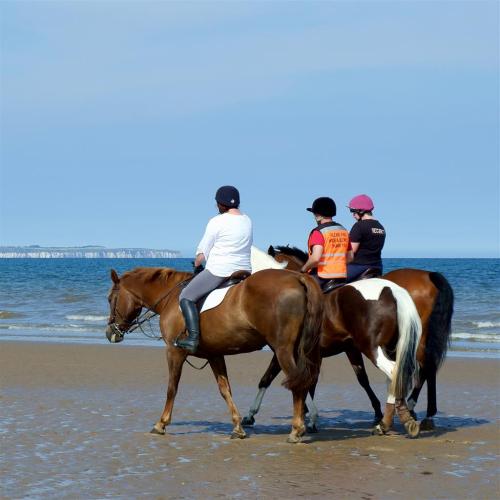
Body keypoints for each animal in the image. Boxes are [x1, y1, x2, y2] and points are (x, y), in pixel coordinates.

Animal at [106, 268, 324, 444]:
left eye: (110, 299)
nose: (110, 333)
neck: (171, 298)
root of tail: (298, 277)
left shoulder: (174, 352)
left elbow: (172, 389)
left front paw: (161, 423)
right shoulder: (215, 355)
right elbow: (225, 389)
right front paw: (237, 427)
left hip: (283, 350)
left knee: (298, 384)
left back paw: (296, 429)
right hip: (292, 350)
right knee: (302, 381)